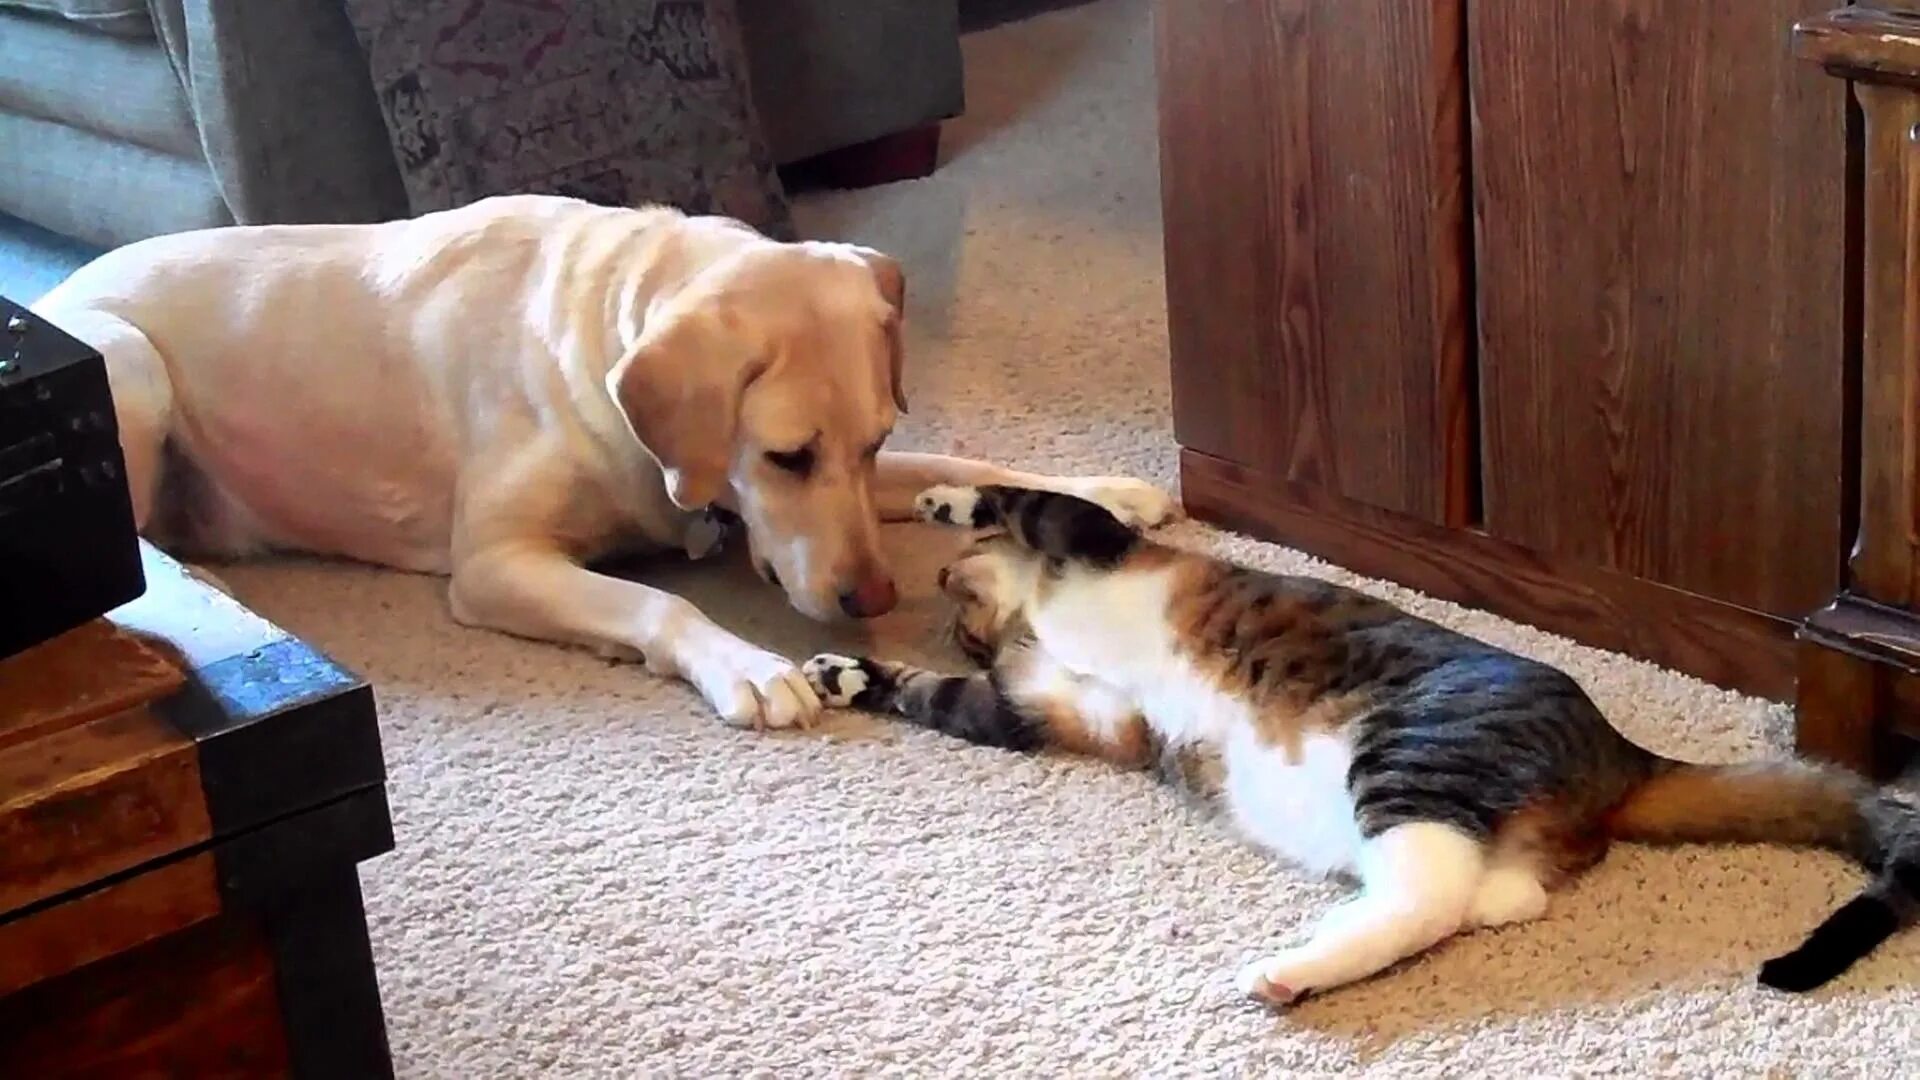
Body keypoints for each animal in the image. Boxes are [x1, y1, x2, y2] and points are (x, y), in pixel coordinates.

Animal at [37, 197, 1175, 726]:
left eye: (873, 442)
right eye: (785, 456)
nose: (873, 598)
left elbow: (965, 458)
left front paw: (1107, 492)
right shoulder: (495, 564)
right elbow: (656, 603)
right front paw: (746, 664)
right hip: (127, 365)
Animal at [798, 484, 1920, 1006]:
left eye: (956, 600)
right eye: (960, 630)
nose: (954, 613)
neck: (1036, 616)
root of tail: (1624, 753)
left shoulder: (1087, 539)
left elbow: (1019, 490)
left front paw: (944, 504)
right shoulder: (1061, 712)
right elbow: (949, 702)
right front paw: (846, 675)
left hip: (1409, 752)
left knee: (1425, 899)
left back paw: (1291, 972)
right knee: (1493, 896)